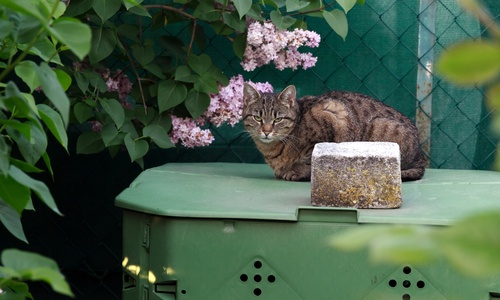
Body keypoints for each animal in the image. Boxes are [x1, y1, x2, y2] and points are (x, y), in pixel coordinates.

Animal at [242, 84, 426, 180]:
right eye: (258, 118)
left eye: (278, 119)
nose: (266, 131)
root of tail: (420, 156)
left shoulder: (333, 115)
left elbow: (311, 161)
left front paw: (297, 171)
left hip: (381, 127)